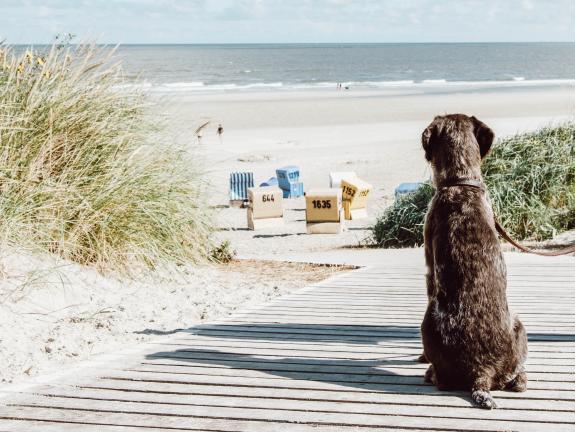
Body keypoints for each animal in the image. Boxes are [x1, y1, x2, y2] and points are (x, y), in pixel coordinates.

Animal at [420, 114, 528, 408]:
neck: (461, 181)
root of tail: (481, 371)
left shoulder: (430, 271)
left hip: (428, 320)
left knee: (442, 379)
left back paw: (430, 372)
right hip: (520, 325)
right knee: (519, 379)